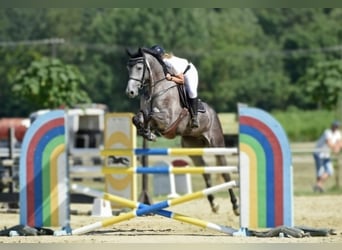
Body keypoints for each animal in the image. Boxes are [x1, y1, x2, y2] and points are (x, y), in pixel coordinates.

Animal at [125, 47, 238, 216]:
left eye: (139, 68)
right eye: (128, 67)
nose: (130, 92)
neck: (155, 89)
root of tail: (214, 113)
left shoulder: (168, 119)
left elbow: (151, 116)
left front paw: (149, 132)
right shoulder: (144, 113)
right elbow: (138, 118)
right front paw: (147, 132)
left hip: (217, 144)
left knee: (225, 173)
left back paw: (236, 206)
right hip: (193, 147)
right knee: (205, 171)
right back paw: (214, 204)